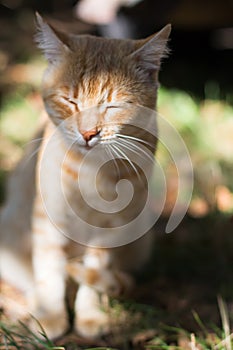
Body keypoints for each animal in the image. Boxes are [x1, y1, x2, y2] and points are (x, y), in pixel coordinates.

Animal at [0, 13, 171, 340]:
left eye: (112, 106)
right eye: (71, 102)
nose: (89, 133)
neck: (93, 170)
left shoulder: (109, 230)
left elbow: (95, 271)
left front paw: (89, 315)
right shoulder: (47, 221)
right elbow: (49, 271)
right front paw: (50, 316)